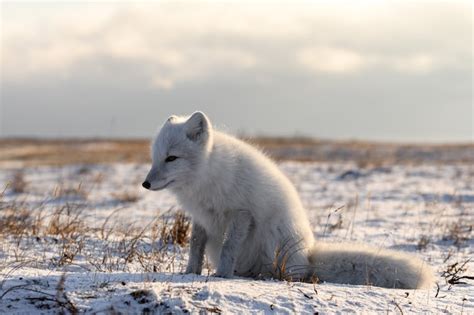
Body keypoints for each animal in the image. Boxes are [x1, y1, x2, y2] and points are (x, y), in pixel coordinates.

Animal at [143, 112, 436, 290]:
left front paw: (222, 275)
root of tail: (308, 255)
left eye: (172, 158)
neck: (208, 174)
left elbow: (228, 247)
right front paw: (190, 272)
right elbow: (195, 246)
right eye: (155, 158)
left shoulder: (241, 213)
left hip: (275, 244)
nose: (145, 184)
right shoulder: (201, 217)